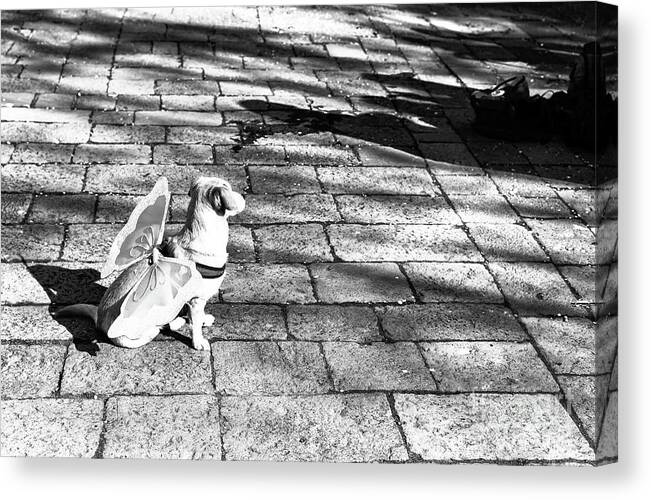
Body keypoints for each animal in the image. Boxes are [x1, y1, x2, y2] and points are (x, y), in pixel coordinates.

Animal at [58, 178, 246, 350]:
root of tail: (99, 320)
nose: (244, 195)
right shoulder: (196, 300)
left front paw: (204, 319)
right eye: (230, 188)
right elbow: (195, 324)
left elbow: (197, 317)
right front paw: (198, 341)